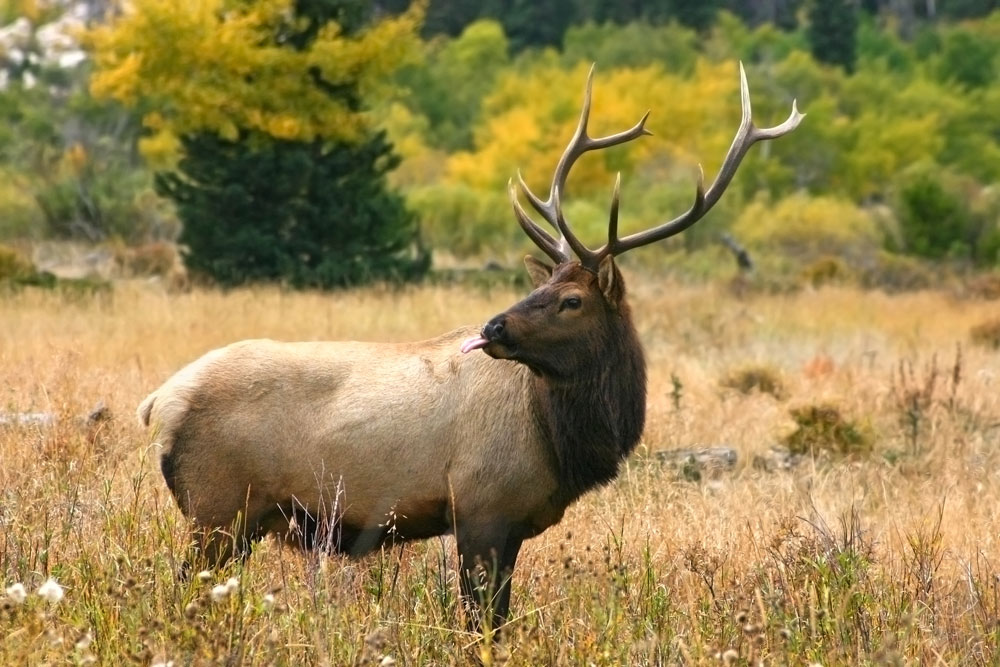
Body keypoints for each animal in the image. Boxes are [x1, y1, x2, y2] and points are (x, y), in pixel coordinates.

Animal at [137, 63, 802, 631]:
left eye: (570, 299)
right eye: (544, 288)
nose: (494, 328)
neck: (562, 441)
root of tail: (158, 402)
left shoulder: (509, 527)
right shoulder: (482, 508)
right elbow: (481, 626)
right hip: (216, 510)